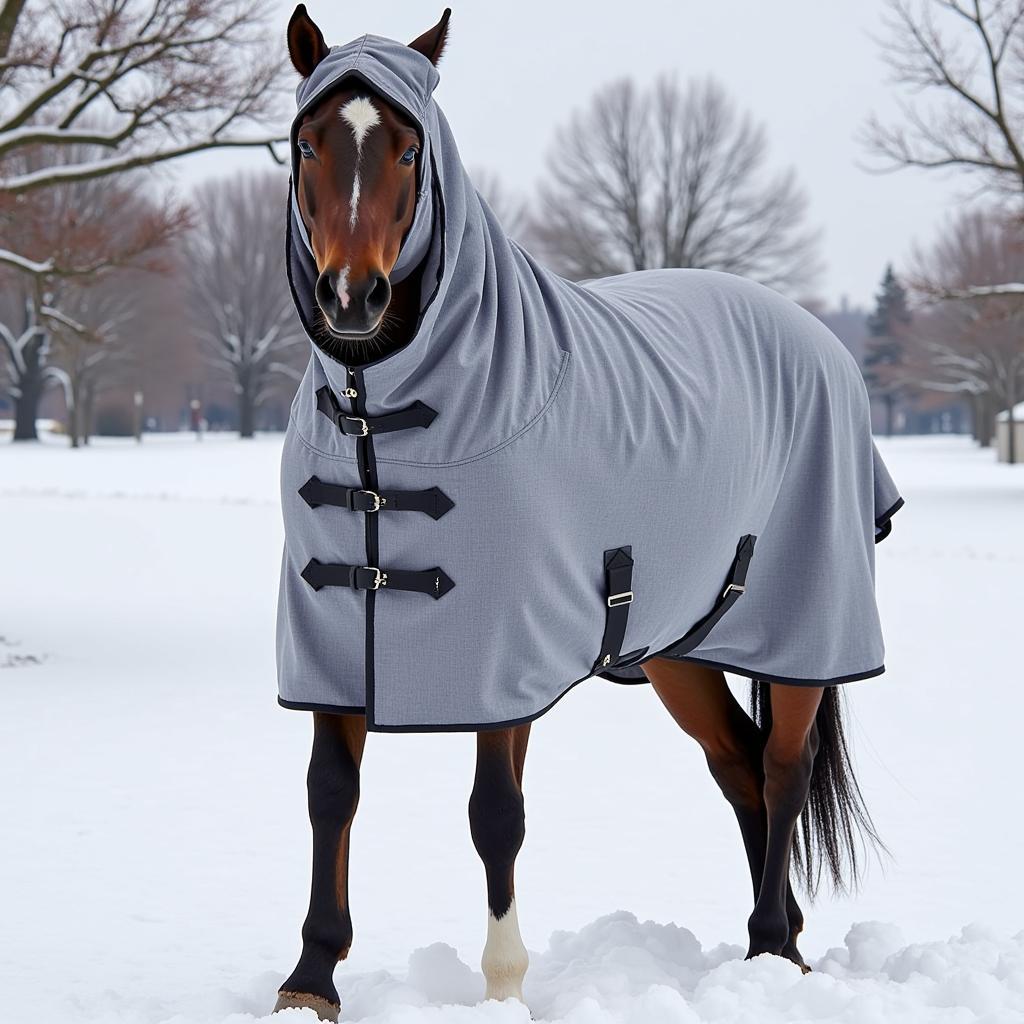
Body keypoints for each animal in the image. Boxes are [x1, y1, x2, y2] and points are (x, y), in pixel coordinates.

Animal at [272, 9, 897, 1024]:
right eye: (306, 141)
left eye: (408, 148)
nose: (352, 296)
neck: (381, 413)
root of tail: (818, 338)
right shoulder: (330, 637)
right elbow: (331, 793)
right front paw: (310, 978)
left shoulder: (504, 657)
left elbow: (496, 816)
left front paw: (503, 985)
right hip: (681, 649)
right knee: (738, 768)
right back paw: (783, 942)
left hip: (808, 622)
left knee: (782, 769)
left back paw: (773, 947)